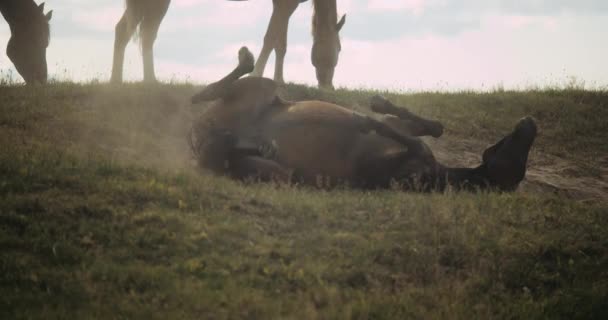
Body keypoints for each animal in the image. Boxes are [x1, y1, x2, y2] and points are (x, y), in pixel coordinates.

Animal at [190, 47, 536, 192]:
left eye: (516, 165)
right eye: (513, 148)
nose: (530, 123)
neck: (439, 176)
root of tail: (198, 135)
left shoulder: (391, 170)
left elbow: (414, 141)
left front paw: (366, 119)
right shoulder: (406, 129)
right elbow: (429, 127)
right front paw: (379, 103)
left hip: (270, 163)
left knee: (216, 117)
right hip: (257, 97)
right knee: (210, 100)